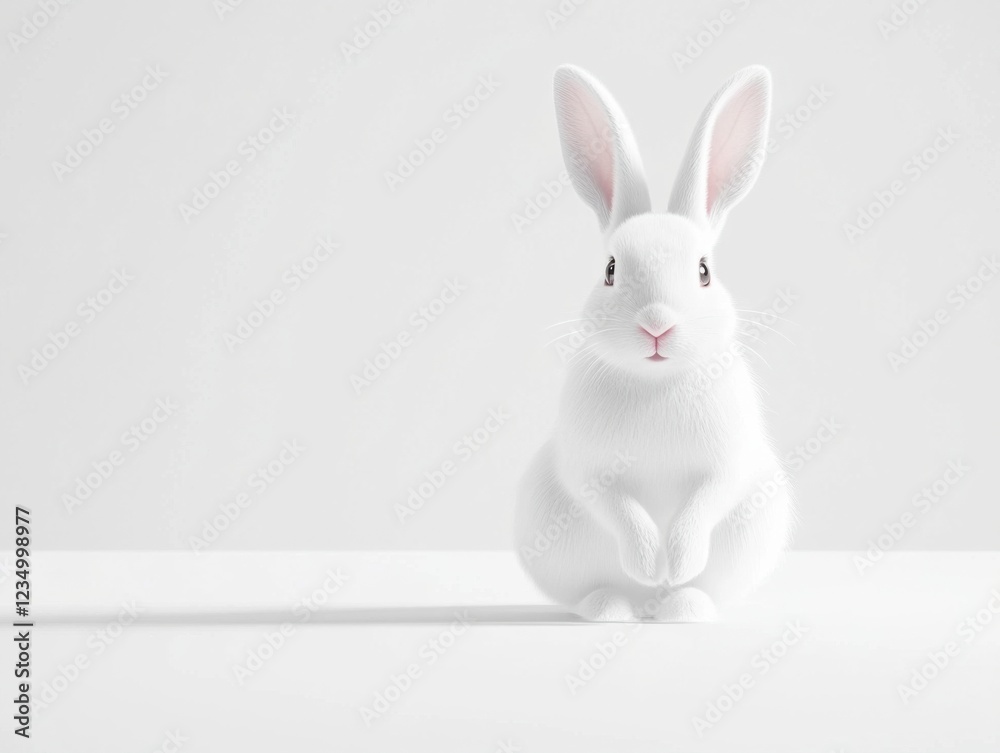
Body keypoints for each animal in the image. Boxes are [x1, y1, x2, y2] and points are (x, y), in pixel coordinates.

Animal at [514, 64, 794, 622]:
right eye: (610, 269)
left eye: (704, 271)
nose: (657, 325)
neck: (656, 381)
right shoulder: (590, 471)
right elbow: (621, 510)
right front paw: (648, 563)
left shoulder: (727, 465)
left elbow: (703, 504)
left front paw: (677, 563)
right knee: (596, 588)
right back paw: (615, 606)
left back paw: (682, 606)